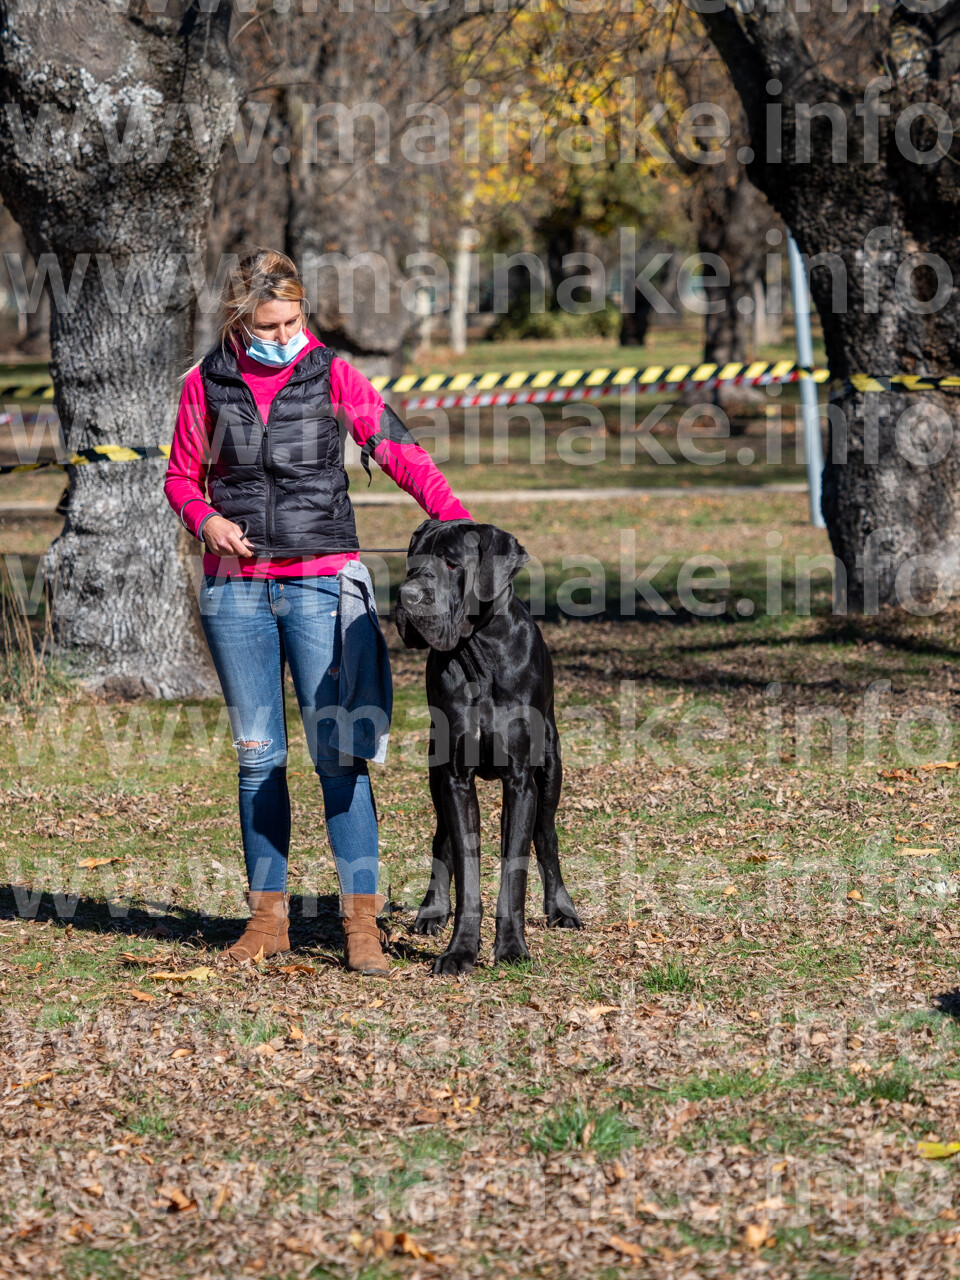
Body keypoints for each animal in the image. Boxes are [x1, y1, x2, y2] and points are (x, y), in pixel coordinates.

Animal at [395, 519, 583, 975]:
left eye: (451, 563)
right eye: (412, 562)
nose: (406, 597)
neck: (479, 655)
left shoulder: (520, 780)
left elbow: (515, 868)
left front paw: (512, 947)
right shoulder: (455, 778)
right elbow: (466, 866)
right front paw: (460, 950)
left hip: (551, 769)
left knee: (545, 837)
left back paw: (561, 908)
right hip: (435, 772)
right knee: (442, 838)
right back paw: (432, 911)